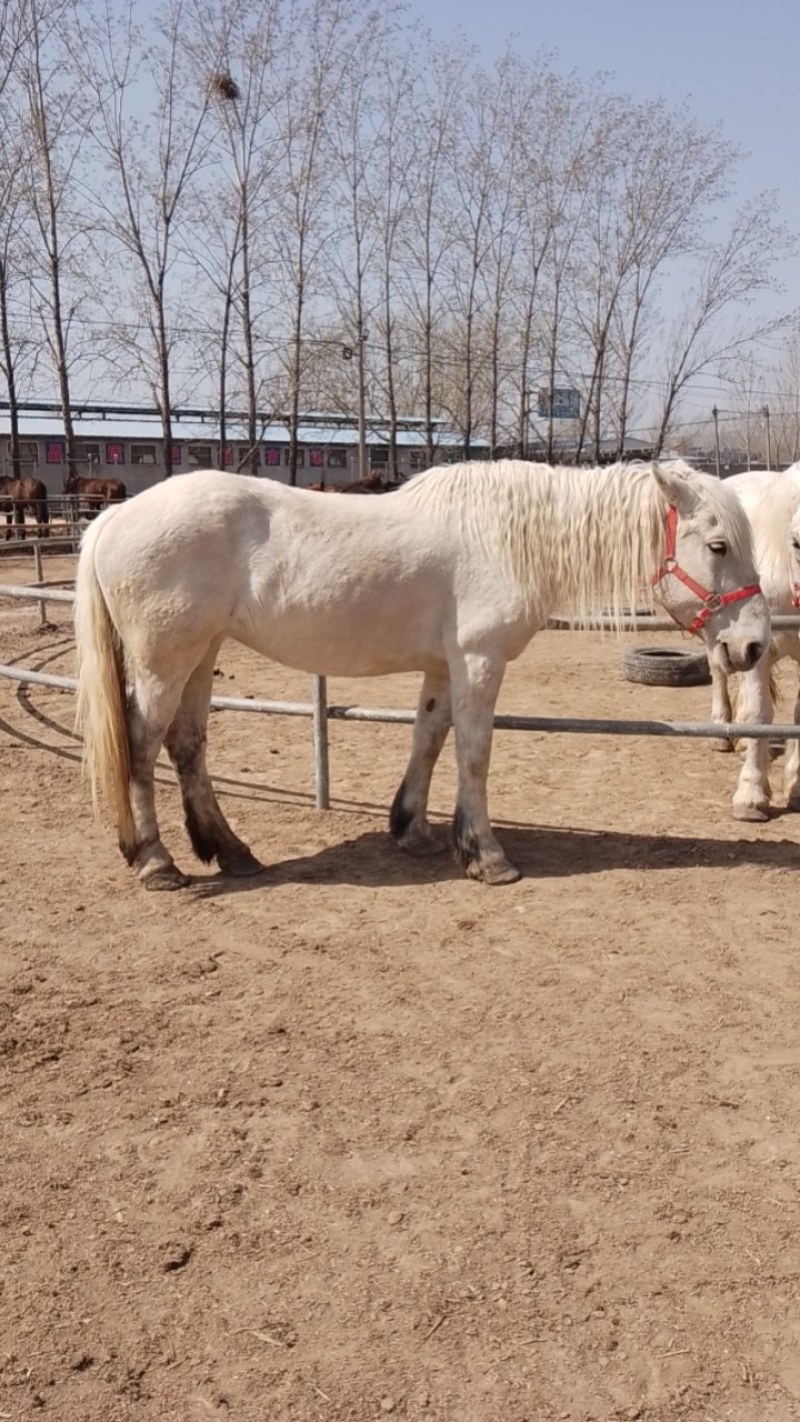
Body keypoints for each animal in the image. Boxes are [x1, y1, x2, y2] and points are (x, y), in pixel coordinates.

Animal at [73, 458, 768, 892]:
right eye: (717, 546)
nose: (754, 645)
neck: (507, 538)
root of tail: (112, 518)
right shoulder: (480, 661)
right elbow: (475, 753)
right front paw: (486, 855)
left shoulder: (443, 666)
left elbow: (429, 741)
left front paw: (413, 831)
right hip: (162, 662)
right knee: (141, 745)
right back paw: (157, 863)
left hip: (199, 655)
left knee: (187, 745)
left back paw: (232, 852)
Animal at [708, 463, 800, 820]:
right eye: (797, 542)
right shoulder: (754, 651)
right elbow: (759, 714)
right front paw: (750, 795)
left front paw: (795, 786)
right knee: (720, 673)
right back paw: (722, 731)